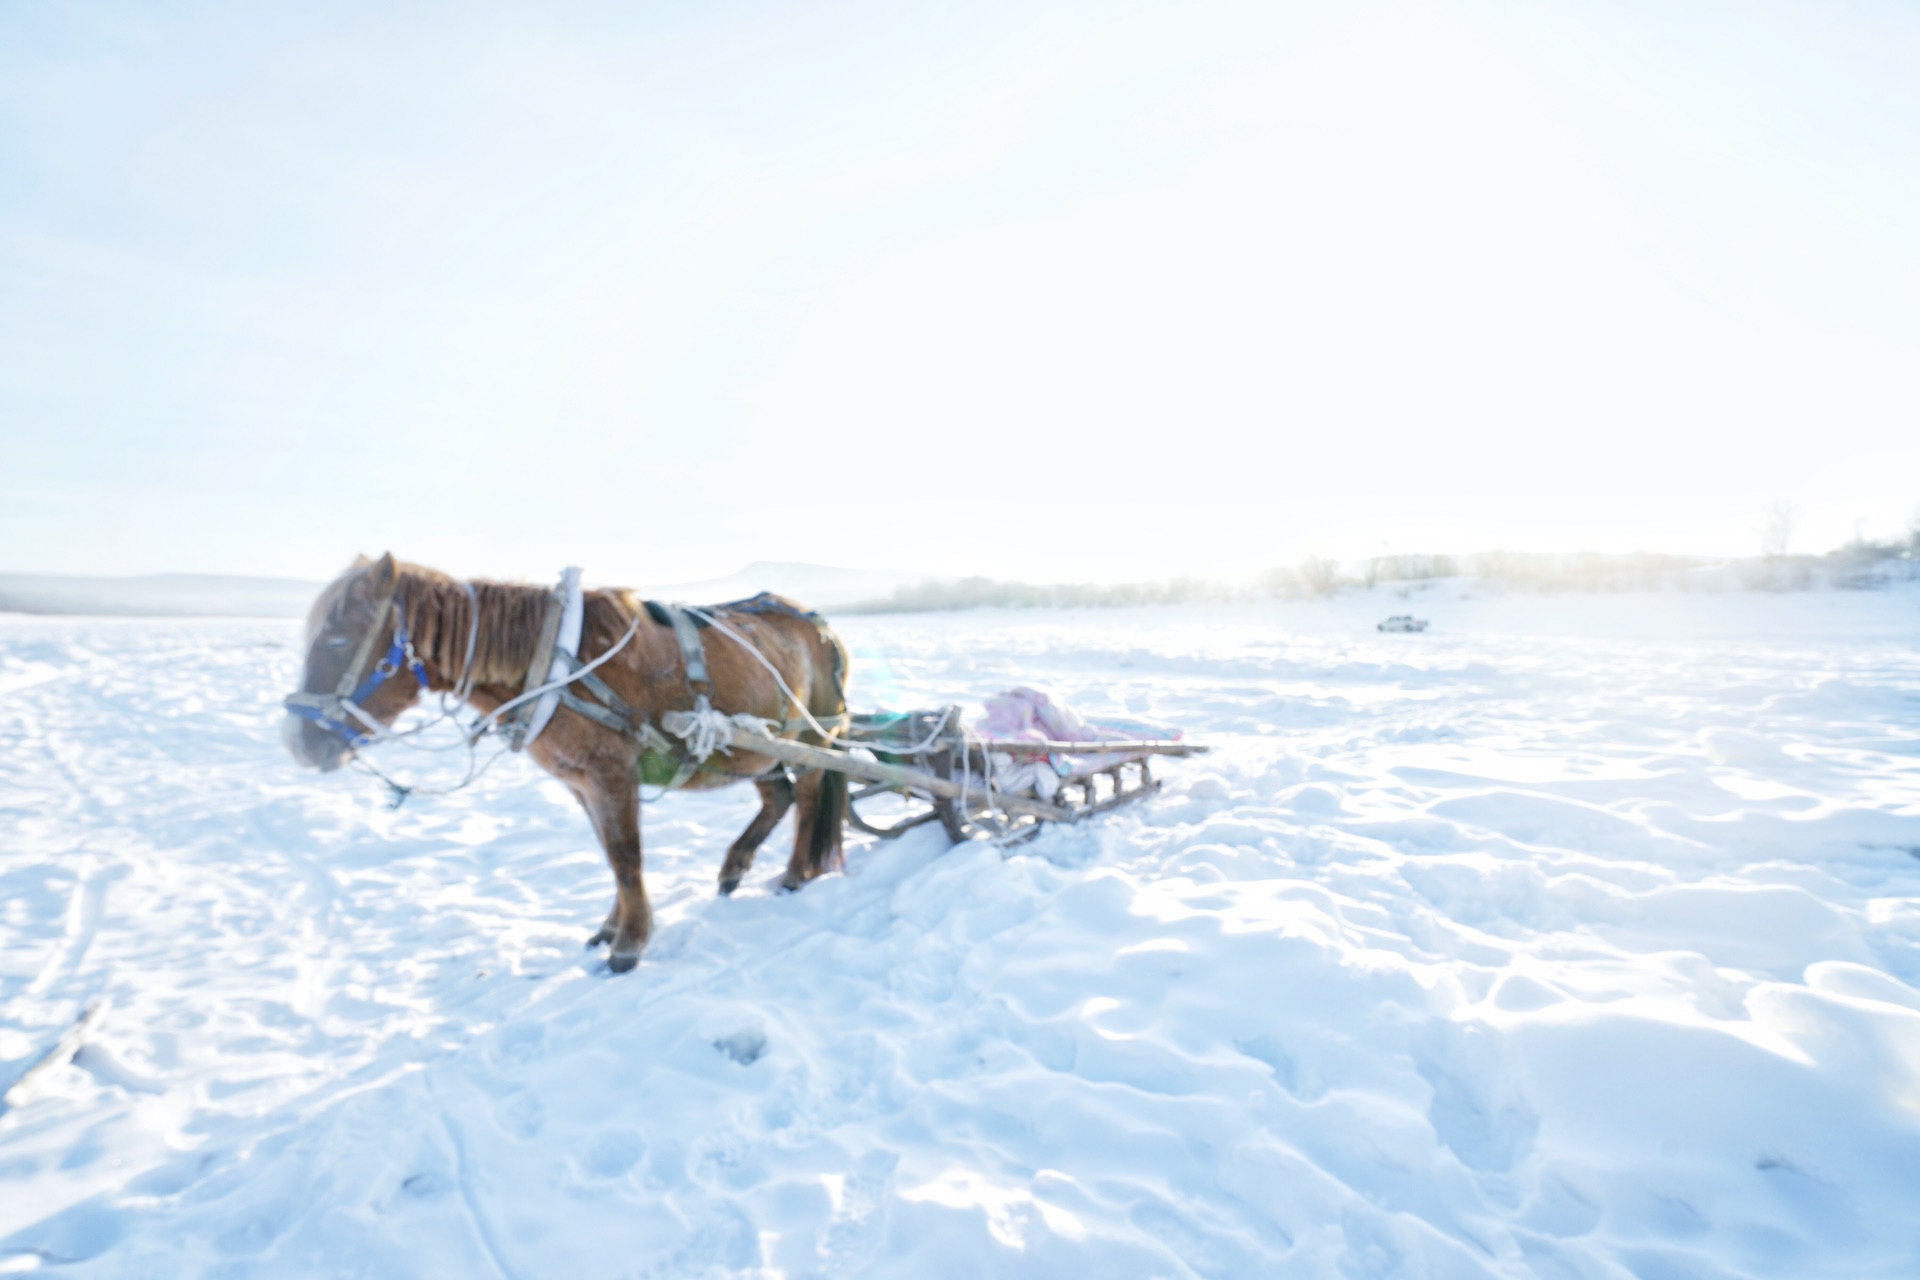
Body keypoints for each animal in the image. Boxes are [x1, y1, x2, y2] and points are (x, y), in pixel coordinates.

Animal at [280, 552, 852, 971]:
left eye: (338, 637)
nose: (297, 743)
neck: (552, 663)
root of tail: (822, 627)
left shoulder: (609, 775)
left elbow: (625, 856)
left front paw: (630, 943)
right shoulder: (580, 783)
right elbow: (608, 854)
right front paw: (612, 927)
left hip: (807, 733)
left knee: (807, 793)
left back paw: (796, 874)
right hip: (749, 747)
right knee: (776, 794)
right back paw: (735, 867)